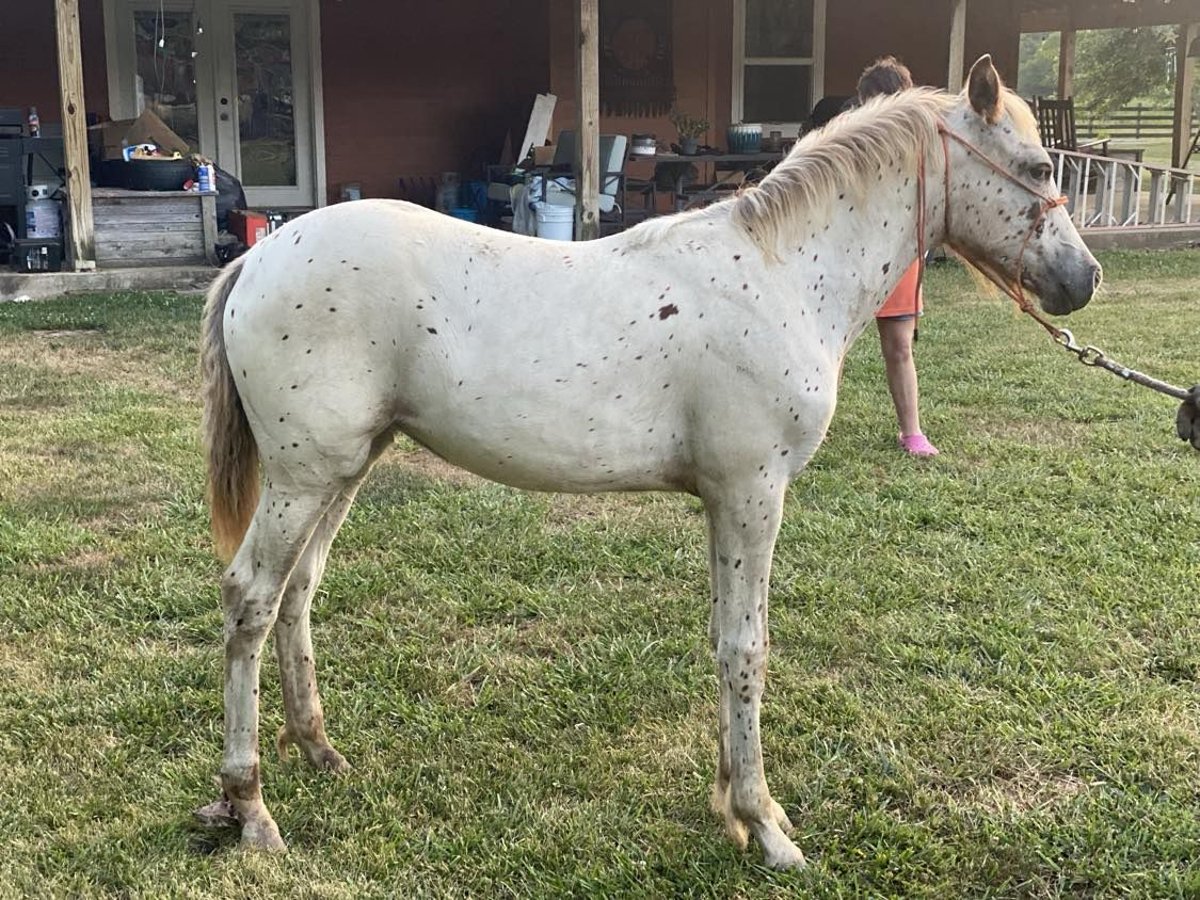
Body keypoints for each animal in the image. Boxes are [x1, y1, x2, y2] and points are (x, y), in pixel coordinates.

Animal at [201, 54, 1099, 868]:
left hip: (342, 470)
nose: (1084, 279)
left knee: (297, 593)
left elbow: (723, 639)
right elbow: (746, 646)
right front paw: (764, 824)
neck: (780, 272)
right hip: (303, 477)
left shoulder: (724, 501)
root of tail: (257, 259)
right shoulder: (752, 493)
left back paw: (319, 751)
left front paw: (733, 805)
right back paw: (250, 806)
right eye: (1038, 167)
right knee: (251, 599)